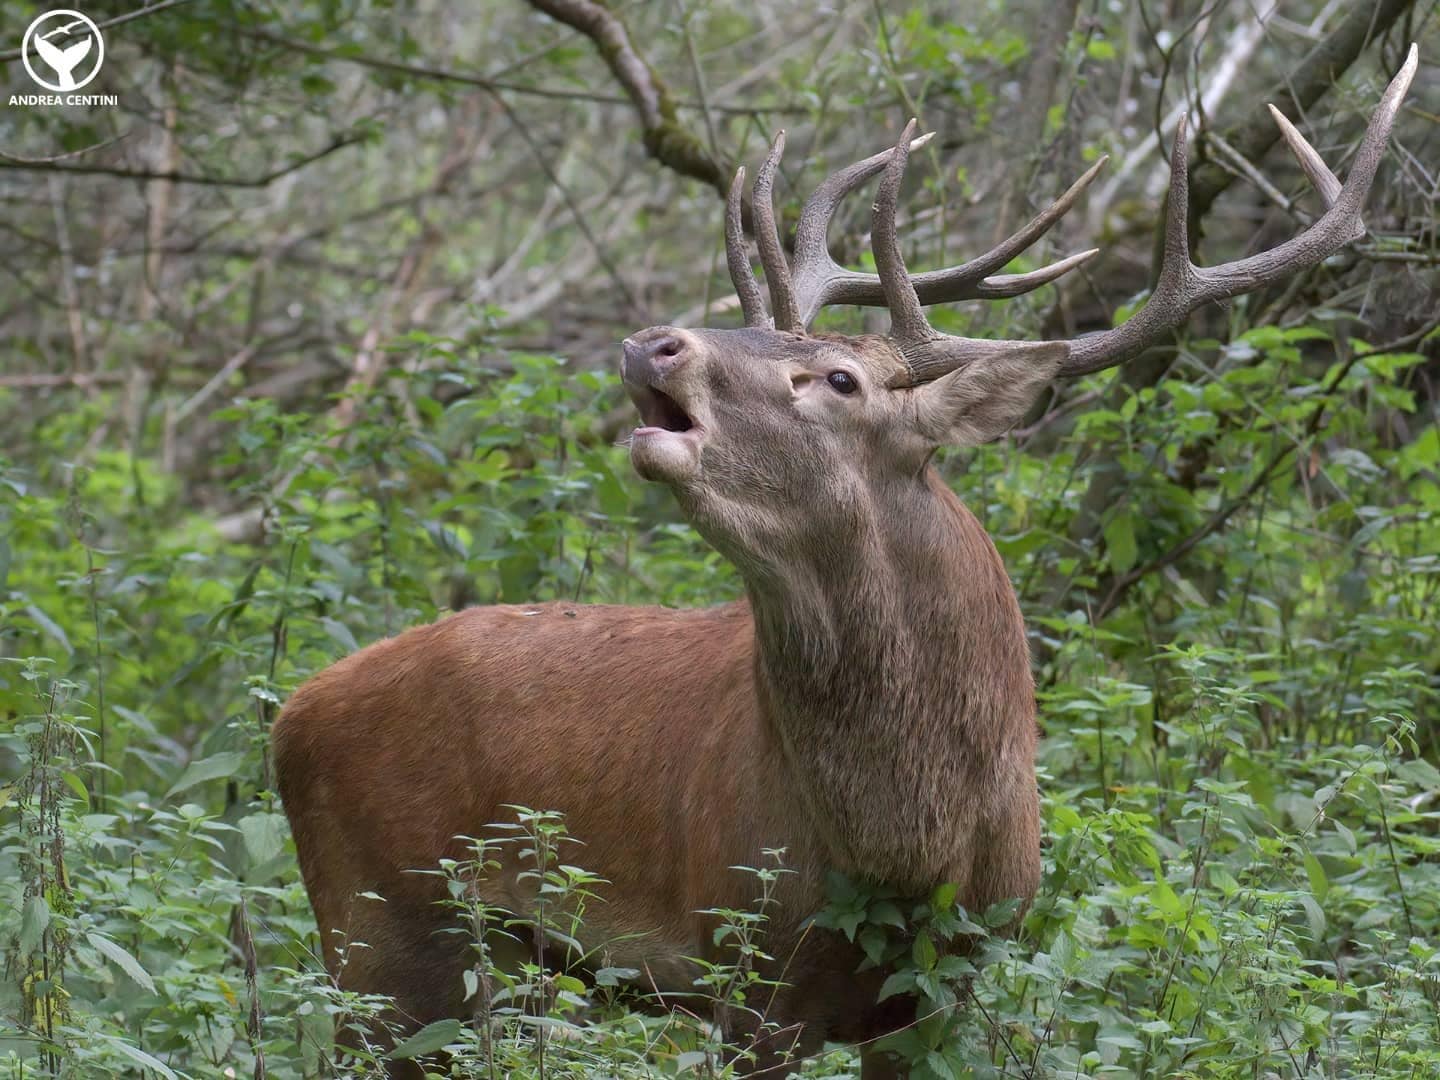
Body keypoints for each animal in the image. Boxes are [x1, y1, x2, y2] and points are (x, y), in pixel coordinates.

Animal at [272, 48, 1416, 1077]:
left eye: (836, 379)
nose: (653, 343)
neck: (906, 844)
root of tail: (289, 716)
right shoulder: (741, 964)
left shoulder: (953, 981)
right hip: (380, 932)